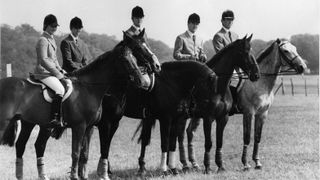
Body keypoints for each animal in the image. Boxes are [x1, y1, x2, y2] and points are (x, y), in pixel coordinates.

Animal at [0, 29, 160, 180]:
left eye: (134, 56)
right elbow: (77, 152)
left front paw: (85, 175)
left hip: (30, 123)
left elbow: (86, 153)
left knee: (24, 145)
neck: (89, 88)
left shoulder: (90, 127)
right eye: (126, 59)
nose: (142, 81)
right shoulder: (81, 126)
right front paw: (76, 176)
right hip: (8, 123)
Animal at [178, 39, 308, 172]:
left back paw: (194, 164)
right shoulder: (248, 112)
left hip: (197, 115)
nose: (302, 67)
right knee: (182, 135)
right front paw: (245, 164)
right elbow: (247, 137)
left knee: (190, 132)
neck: (259, 84)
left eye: (295, 48)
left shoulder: (262, 114)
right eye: (286, 51)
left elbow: (257, 137)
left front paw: (257, 162)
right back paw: (185, 164)